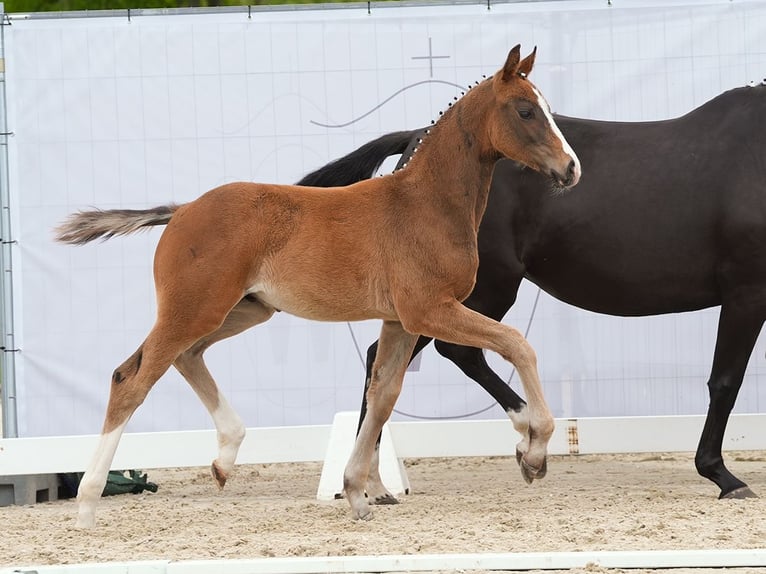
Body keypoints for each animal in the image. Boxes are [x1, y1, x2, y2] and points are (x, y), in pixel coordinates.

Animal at [54, 47, 584, 528]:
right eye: (525, 110)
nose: (571, 168)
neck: (425, 204)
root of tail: (182, 210)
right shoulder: (430, 309)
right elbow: (517, 345)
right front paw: (535, 450)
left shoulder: (400, 320)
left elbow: (383, 393)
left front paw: (356, 492)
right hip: (194, 309)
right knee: (132, 379)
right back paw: (87, 504)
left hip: (244, 310)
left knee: (184, 357)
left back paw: (226, 457)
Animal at [296, 83, 766, 506]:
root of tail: (416, 144)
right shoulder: (746, 292)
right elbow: (726, 381)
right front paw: (723, 476)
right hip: (472, 291)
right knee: (451, 353)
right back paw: (524, 448)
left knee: (388, 360)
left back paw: (375, 486)